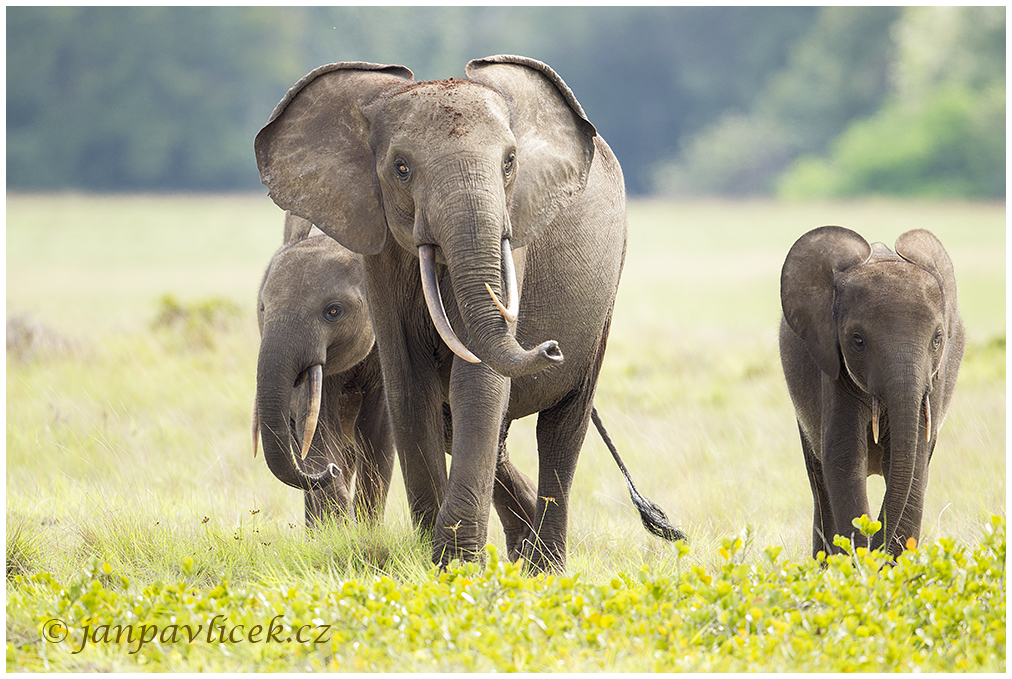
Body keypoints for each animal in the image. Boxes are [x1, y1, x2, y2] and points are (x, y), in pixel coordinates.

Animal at [252, 212, 394, 526]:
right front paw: (343, 528)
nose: (330, 471)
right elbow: (315, 426)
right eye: (263, 309)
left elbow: (378, 429)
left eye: (333, 311)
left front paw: (365, 529)